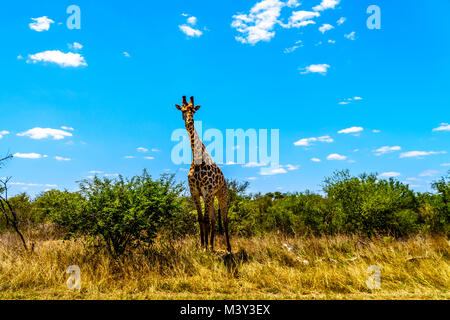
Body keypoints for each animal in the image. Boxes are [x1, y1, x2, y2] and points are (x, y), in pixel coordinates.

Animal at [176, 95, 232, 252]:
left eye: (194, 111)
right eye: (183, 110)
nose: (190, 121)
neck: (197, 162)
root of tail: (224, 179)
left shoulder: (206, 191)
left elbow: (206, 219)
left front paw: (205, 248)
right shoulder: (195, 192)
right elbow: (201, 219)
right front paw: (202, 246)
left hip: (221, 194)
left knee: (224, 220)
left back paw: (228, 248)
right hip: (211, 197)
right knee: (213, 219)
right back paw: (212, 245)